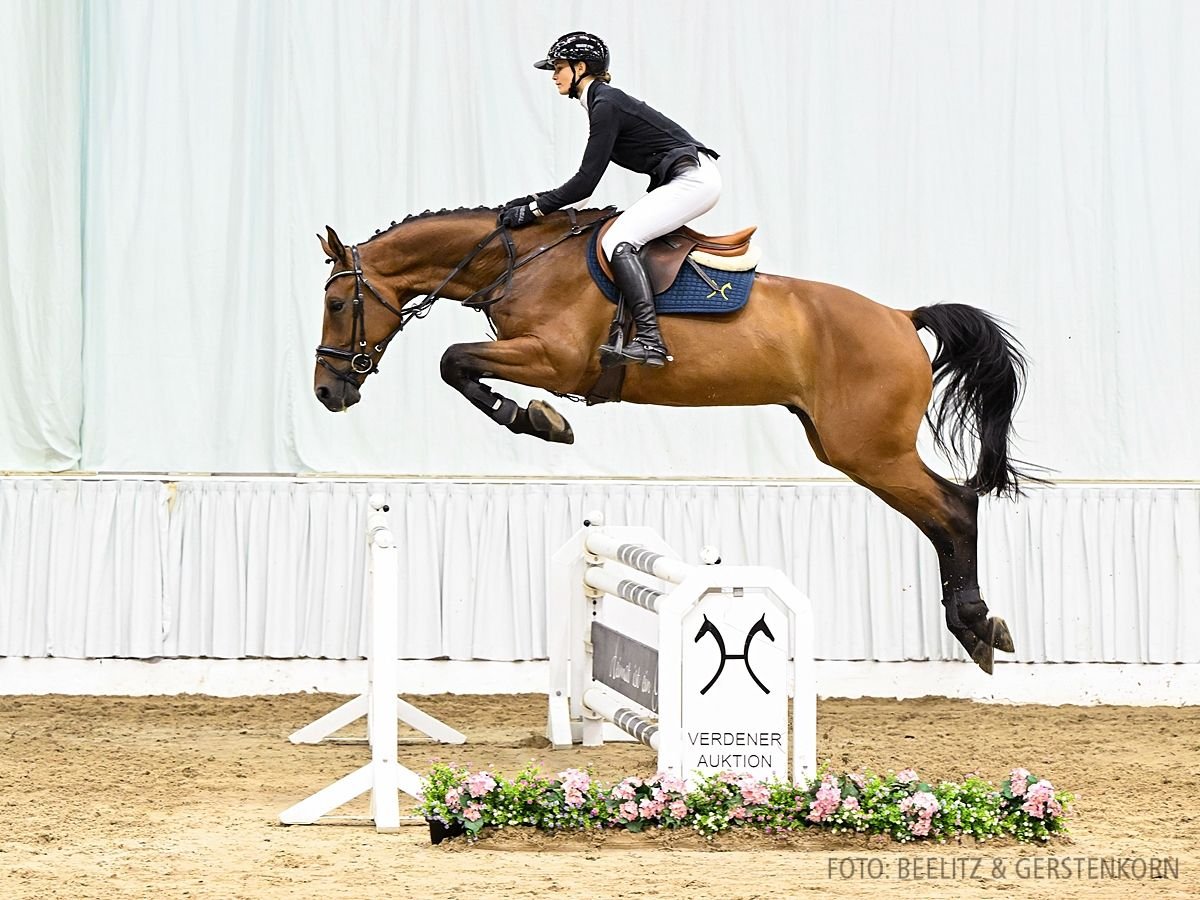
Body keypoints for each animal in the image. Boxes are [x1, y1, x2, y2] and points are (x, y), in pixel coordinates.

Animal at [314, 206, 1036, 672]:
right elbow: (458, 363)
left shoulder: (556, 360)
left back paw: (975, 626)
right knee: (945, 513)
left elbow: (454, 361)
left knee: (954, 508)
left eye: (338, 304)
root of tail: (900, 317)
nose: (328, 392)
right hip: (848, 448)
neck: (519, 262)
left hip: (871, 451)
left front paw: (539, 420)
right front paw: (540, 419)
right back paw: (976, 627)